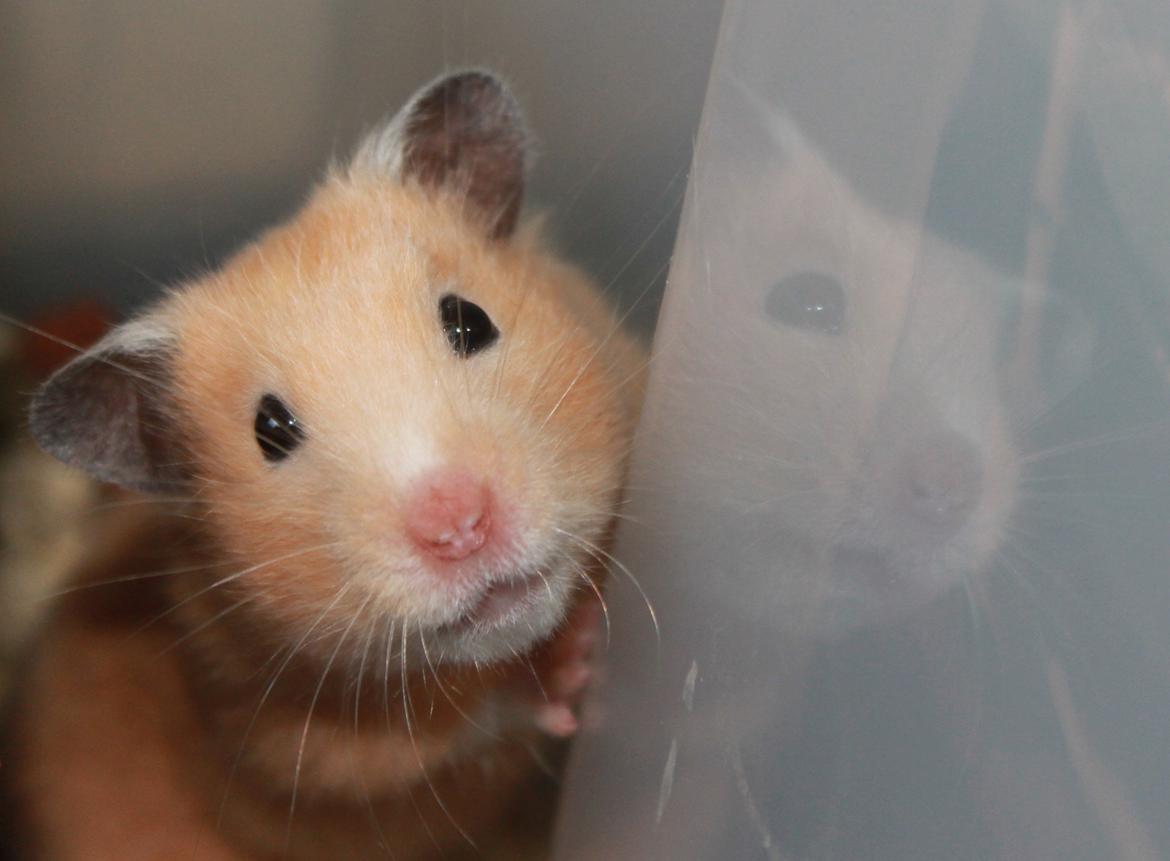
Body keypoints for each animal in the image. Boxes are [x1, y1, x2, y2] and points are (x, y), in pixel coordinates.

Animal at [4, 70, 644, 860]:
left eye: (469, 320)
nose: (461, 528)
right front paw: (571, 664)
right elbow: (453, 735)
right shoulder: (294, 743)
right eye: (270, 432)